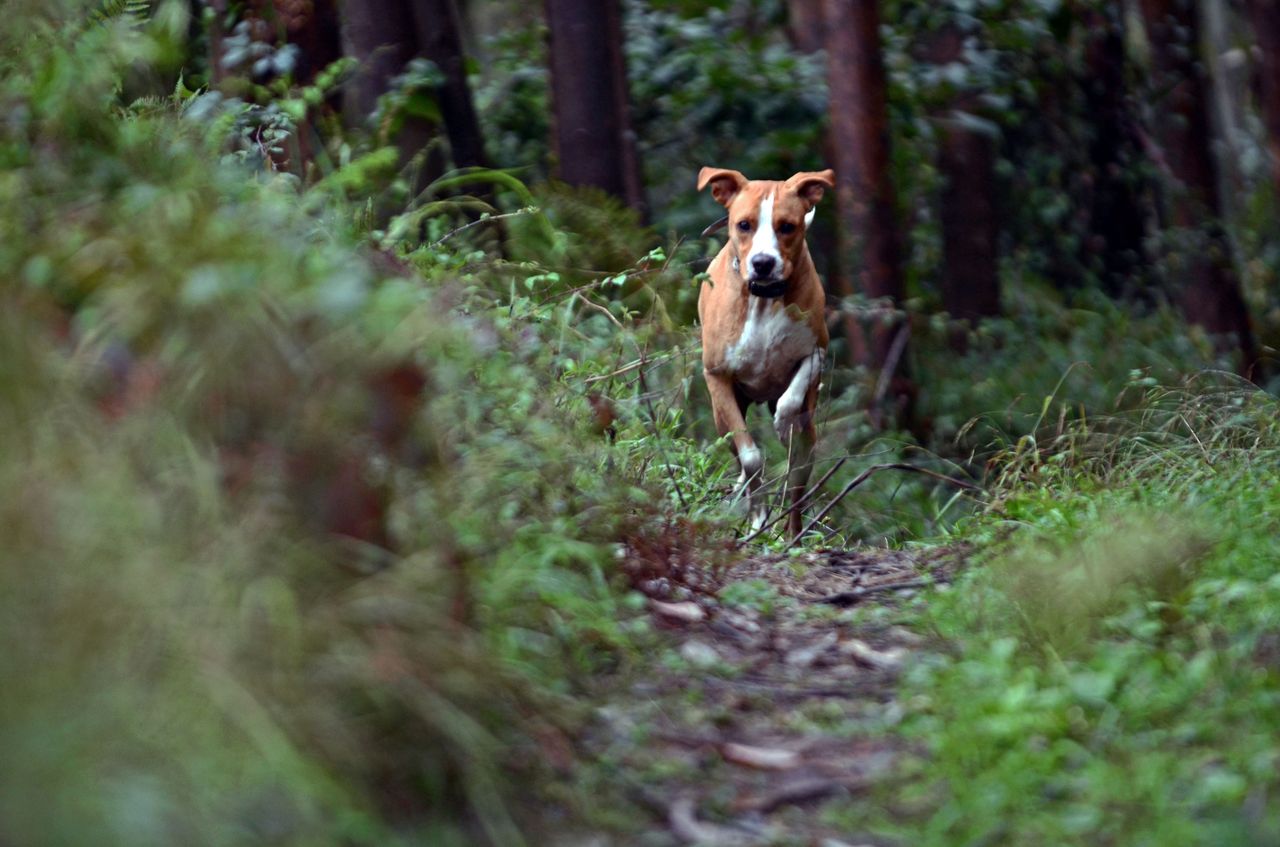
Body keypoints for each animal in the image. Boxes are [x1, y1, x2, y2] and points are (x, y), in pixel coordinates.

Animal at [696, 167, 834, 537]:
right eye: (744, 224)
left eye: (787, 226)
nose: (762, 262)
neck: (763, 299)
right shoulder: (717, 377)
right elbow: (751, 458)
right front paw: (757, 514)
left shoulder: (817, 352)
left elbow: (790, 399)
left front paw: (784, 426)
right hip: (721, 417)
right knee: (741, 456)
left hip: (809, 435)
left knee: (799, 476)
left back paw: (793, 533)